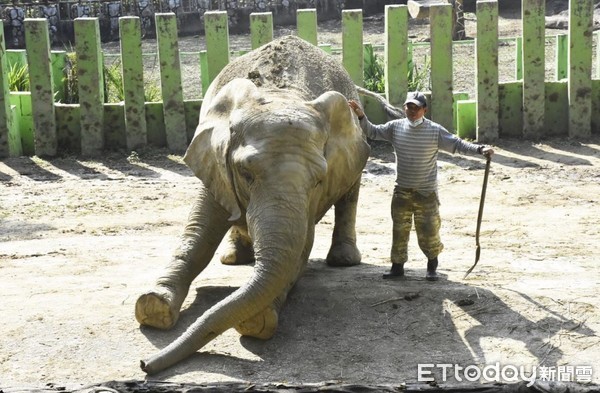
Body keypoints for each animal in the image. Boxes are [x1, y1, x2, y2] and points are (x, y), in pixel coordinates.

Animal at [136, 36, 370, 374]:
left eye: (318, 180)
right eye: (245, 173)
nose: (145, 364)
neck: (280, 94)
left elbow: (300, 251)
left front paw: (256, 320)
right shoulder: (216, 163)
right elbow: (197, 234)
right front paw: (153, 304)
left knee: (349, 196)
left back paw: (343, 260)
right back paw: (235, 258)